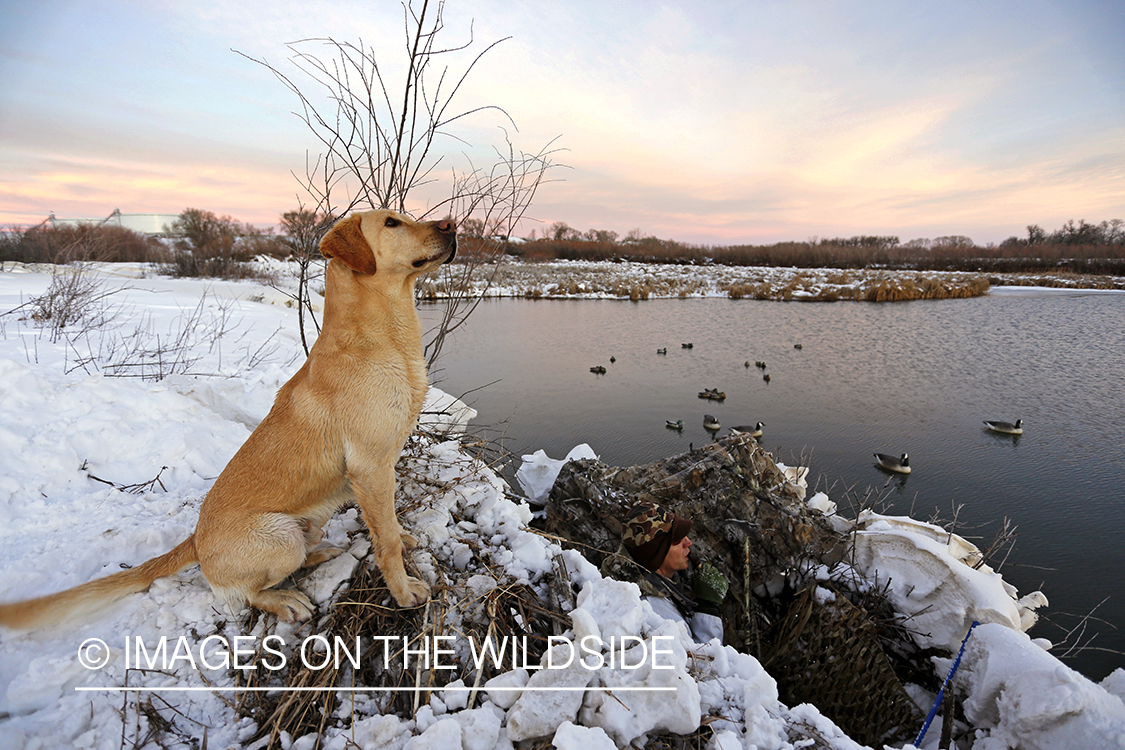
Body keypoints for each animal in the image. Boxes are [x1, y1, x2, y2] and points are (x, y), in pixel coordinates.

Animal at [2, 210, 456, 629]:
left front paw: (403, 538)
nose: (452, 225)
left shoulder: (379, 469)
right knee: (248, 593)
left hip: (306, 524)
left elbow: (388, 527)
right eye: (392, 223)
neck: (384, 341)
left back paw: (321, 553)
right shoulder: (370, 467)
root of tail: (196, 542)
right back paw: (285, 601)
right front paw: (403, 591)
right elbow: (386, 542)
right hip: (280, 534)